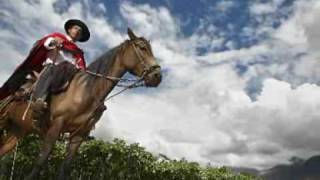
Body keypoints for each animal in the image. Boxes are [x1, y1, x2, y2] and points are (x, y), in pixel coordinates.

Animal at [0, 28, 161, 179]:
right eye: (142, 47)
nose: (157, 76)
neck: (87, 90)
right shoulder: (57, 125)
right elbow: (40, 161)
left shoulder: (79, 135)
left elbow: (65, 169)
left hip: (17, 132)